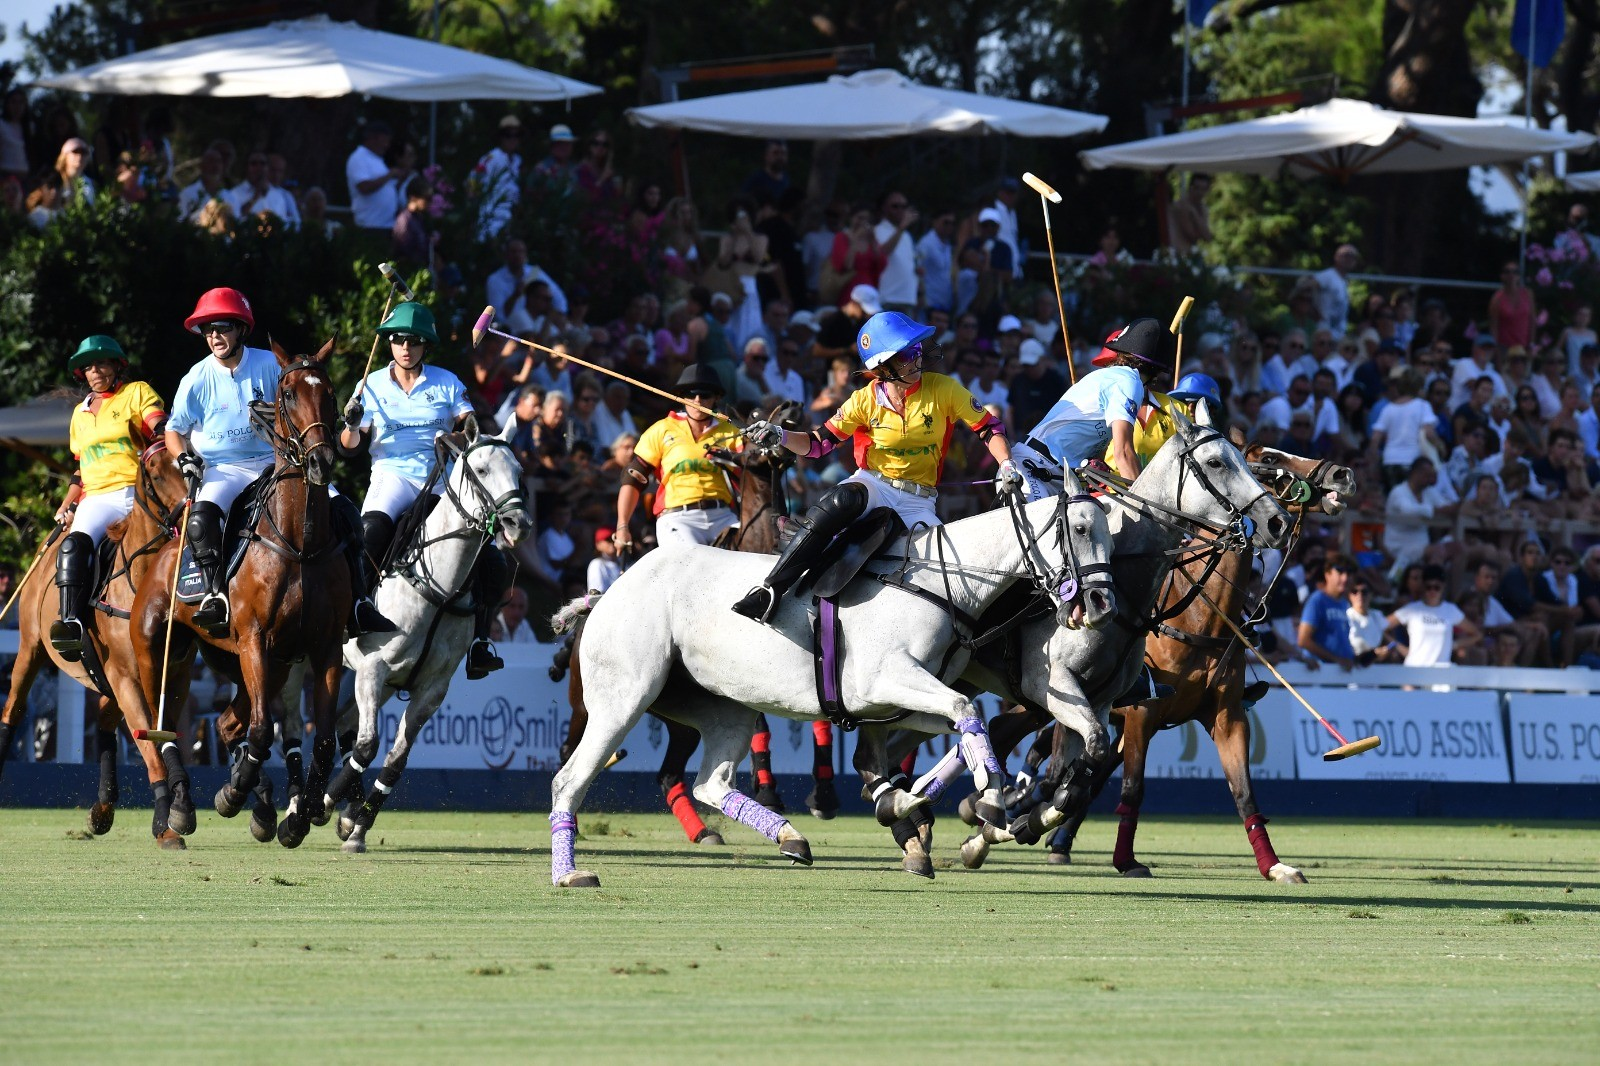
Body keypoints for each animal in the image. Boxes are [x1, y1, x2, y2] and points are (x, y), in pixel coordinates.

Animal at [0, 435, 203, 845]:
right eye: (154, 471)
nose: (185, 518)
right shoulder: (127, 676)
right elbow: (150, 745)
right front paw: (167, 821)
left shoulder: (174, 677)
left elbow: (160, 735)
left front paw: (177, 809)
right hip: (31, 648)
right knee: (12, 710)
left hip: (106, 676)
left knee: (108, 722)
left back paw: (103, 809)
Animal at [125, 340, 353, 845]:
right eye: (287, 393)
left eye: (330, 393)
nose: (320, 461)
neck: (300, 544)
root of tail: (166, 547)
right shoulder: (254, 638)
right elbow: (264, 731)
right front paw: (234, 793)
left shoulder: (324, 647)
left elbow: (324, 739)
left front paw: (301, 814)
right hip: (157, 650)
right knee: (160, 724)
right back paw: (181, 809)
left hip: (235, 659)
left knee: (228, 721)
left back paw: (257, 806)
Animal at [320, 409, 537, 851]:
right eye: (481, 469)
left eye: (519, 471)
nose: (517, 523)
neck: (438, 585)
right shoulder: (373, 669)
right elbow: (367, 746)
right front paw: (319, 807)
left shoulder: (431, 688)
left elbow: (395, 760)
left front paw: (357, 823)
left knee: (342, 724)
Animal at [550, 470, 1126, 883]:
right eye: (1079, 530)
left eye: (1113, 538)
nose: (1102, 604)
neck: (943, 584)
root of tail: (609, 591)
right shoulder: (882, 682)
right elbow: (966, 713)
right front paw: (981, 795)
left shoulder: (895, 704)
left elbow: (959, 732)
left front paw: (918, 801)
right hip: (624, 696)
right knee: (569, 778)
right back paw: (570, 873)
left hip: (723, 707)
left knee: (711, 782)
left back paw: (791, 838)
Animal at [972, 438, 1350, 877]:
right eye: (1269, 459)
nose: (1342, 474)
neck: (1199, 618)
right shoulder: (1141, 714)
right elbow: (1131, 789)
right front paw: (1125, 859)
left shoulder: (1226, 715)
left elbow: (1244, 794)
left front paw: (1275, 866)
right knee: (1014, 737)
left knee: (1032, 748)